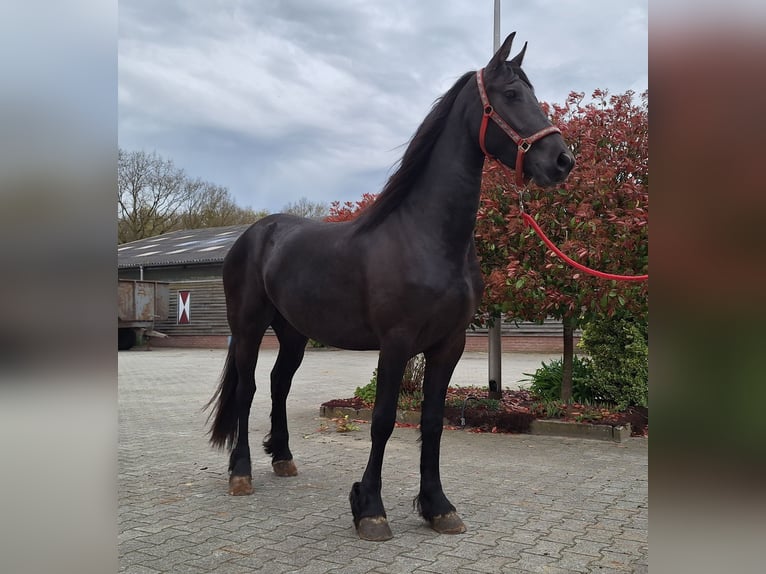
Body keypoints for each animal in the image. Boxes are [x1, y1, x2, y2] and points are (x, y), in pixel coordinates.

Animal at [207, 32, 574, 541]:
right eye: (512, 94)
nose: (562, 161)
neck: (424, 235)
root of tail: (253, 234)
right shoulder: (396, 343)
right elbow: (382, 421)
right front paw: (370, 508)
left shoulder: (449, 345)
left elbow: (433, 422)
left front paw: (438, 506)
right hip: (247, 326)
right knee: (247, 390)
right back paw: (240, 472)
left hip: (294, 332)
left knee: (280, 384)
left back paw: (282, 458)